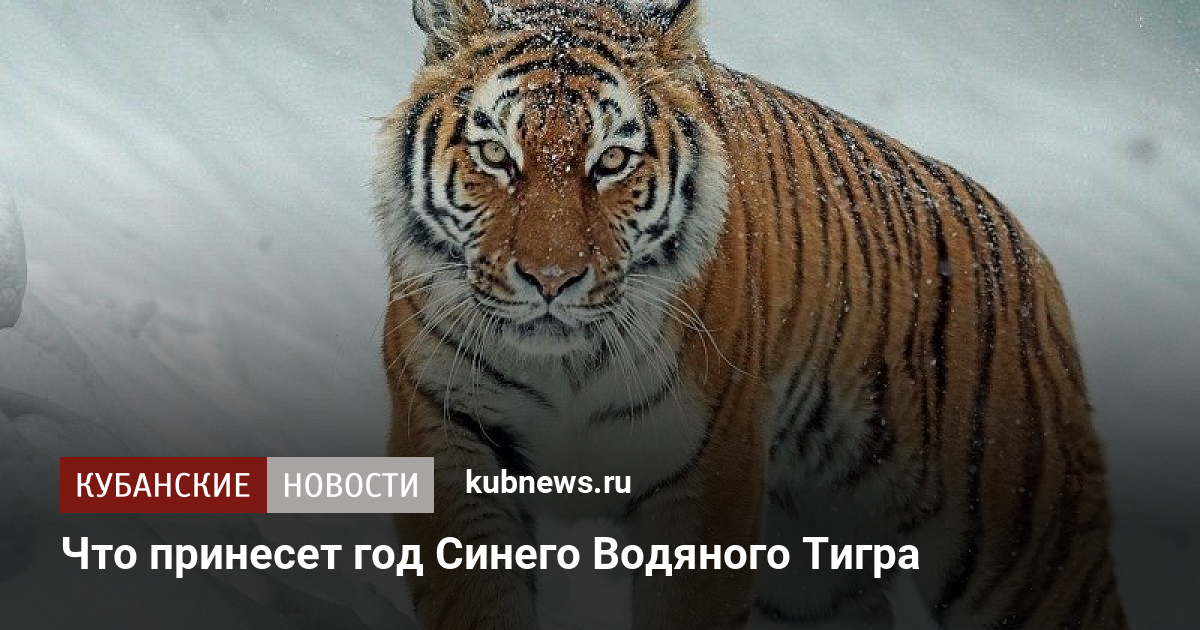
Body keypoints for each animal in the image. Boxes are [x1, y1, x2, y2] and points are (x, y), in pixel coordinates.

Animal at [372, 1, 1127, 628]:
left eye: (611, 160)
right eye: (495, 153)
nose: (551, 280)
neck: (568, 367)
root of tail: (1024, 248)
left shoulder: (707, 480)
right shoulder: (451, 439)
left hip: (1021, 545)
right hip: (811, 576)